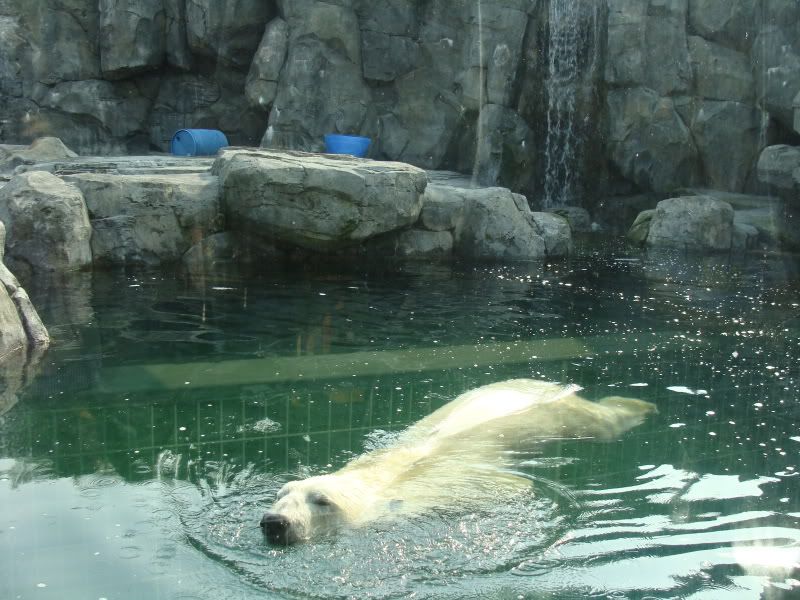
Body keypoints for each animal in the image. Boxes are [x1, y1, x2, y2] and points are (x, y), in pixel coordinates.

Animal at [260, 378, 657, 545]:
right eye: (281, 495)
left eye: (322, 501)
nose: (275, 522)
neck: (380, 477)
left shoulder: (437, 488)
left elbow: (510, 486)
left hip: (563, 417)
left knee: (603, 423)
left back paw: (640, 405)